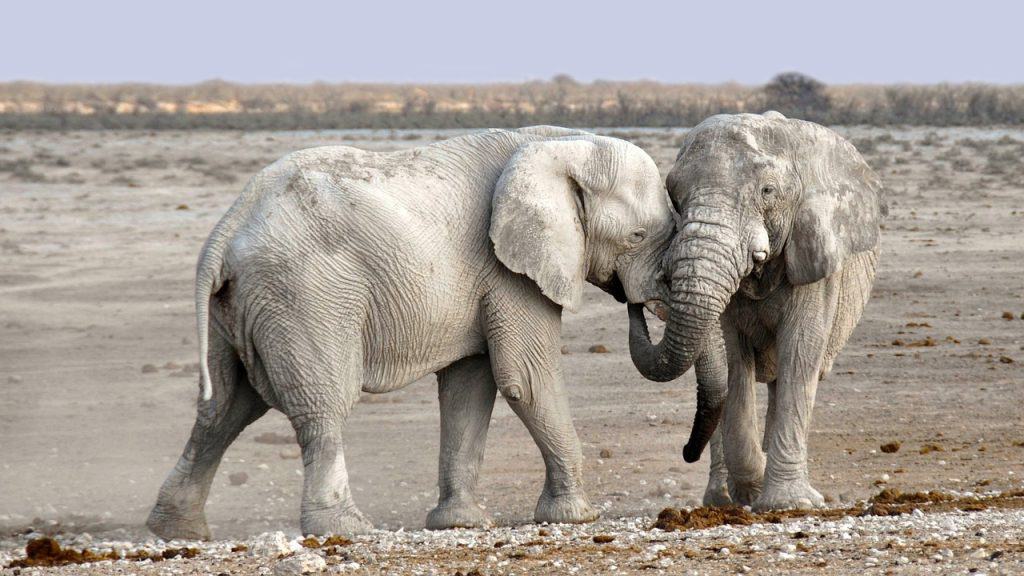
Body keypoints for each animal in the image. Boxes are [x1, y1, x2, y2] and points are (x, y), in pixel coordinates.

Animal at [144, 124, 671, 537]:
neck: (562, 143)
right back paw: (348, 529)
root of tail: (226, 228)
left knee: (224, 408)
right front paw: (577, 516)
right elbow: (525, 379)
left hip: (239, 306)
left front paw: (459, 524)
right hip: (305, 296)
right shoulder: (509, 270)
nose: (636, 303)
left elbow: (469, 387)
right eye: (637, 237)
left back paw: (176, 531)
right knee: (321, 405)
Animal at [626, 111, 884, 506]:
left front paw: (790, 503)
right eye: (674, 196)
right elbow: (733, 360)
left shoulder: (815, 256)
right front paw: (755, 487)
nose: (636, 302)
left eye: (768, 192)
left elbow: (801, 353)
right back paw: (722, 499)